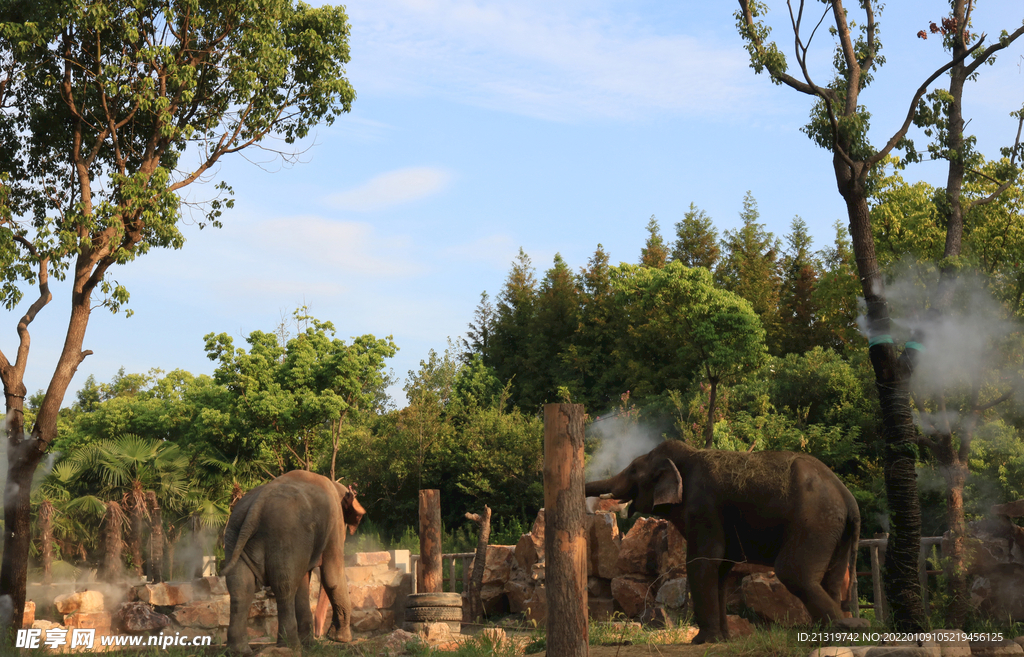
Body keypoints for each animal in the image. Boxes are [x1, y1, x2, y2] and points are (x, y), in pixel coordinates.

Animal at [222, 468, 366, 650]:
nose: (322, 635)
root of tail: (256, 506)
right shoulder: (333, 525)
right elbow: (332, 576)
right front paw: (341, 640)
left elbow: (304, 582)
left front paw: (310, 645)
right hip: (284, 535)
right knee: (285, 587)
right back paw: (290, 646)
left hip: (234, 534)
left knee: (240, 587)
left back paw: (240, 651)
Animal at [585, 438, 864, 642]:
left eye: (634, 470)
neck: (687, 456)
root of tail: (848, 498)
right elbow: (720, 569)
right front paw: (724, 640)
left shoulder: (703, 507)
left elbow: (703, 561)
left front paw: (702, 641)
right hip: (836, 530)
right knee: (832, 581)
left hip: (815, 522)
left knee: (794, 573)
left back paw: (843, 631)